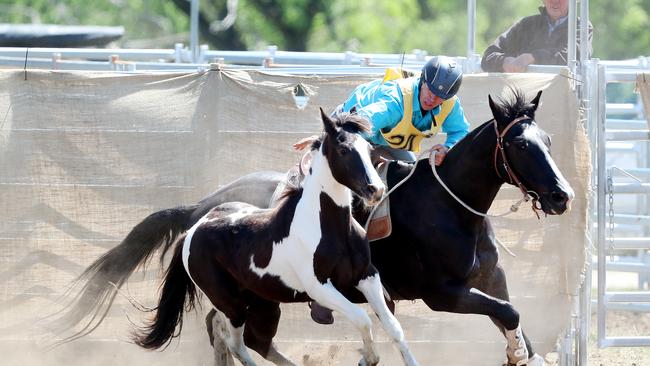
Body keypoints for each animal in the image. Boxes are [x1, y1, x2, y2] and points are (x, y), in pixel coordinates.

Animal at [54, 109, 420, 366]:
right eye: (343, 150)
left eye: (369, 149)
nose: (375, 190)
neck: (327, 225)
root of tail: (195, 227)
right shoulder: (320, 287)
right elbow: (363, 319)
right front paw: (367, 357)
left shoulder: (367, 277)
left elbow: (393, 327)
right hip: (232, 303)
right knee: (236, 342)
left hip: (259, 301)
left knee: (246, 342)